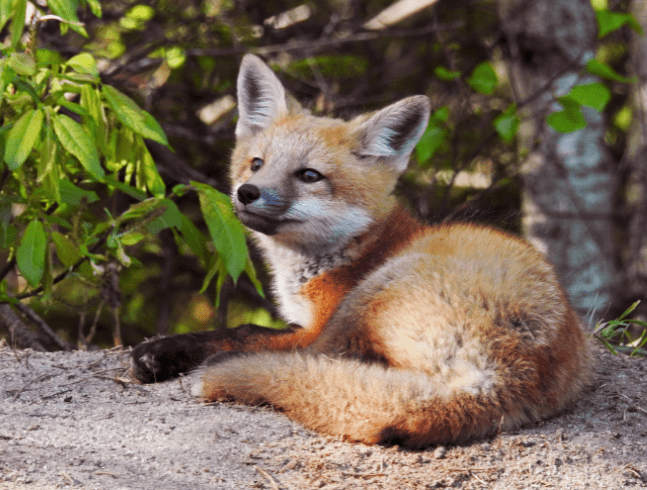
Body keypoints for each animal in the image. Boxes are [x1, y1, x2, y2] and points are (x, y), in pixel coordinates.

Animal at [132, 53, 592, 448]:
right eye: (257, 163)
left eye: (309, 176)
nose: (247, 193)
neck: (351, 247)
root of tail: (503, 378)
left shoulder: (318, 322)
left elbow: (244, 331)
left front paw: (162, 351)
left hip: (374, 292)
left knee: (312, 356)